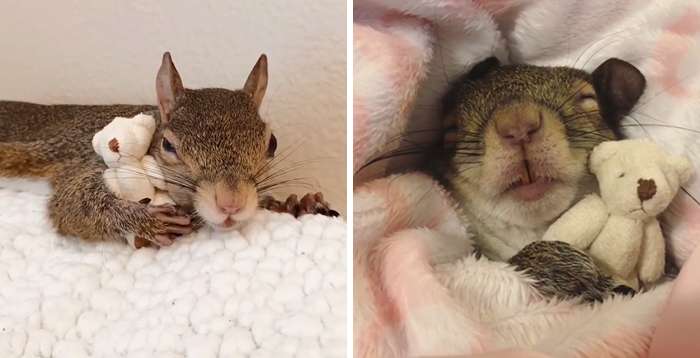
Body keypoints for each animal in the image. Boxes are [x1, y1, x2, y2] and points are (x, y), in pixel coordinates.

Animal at [0, 53, 340, 248]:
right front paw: (144, 220)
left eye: (272, 143)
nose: (231, 203)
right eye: (168, 145)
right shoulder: (81, 159)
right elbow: (72, 203)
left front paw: (297, 204)